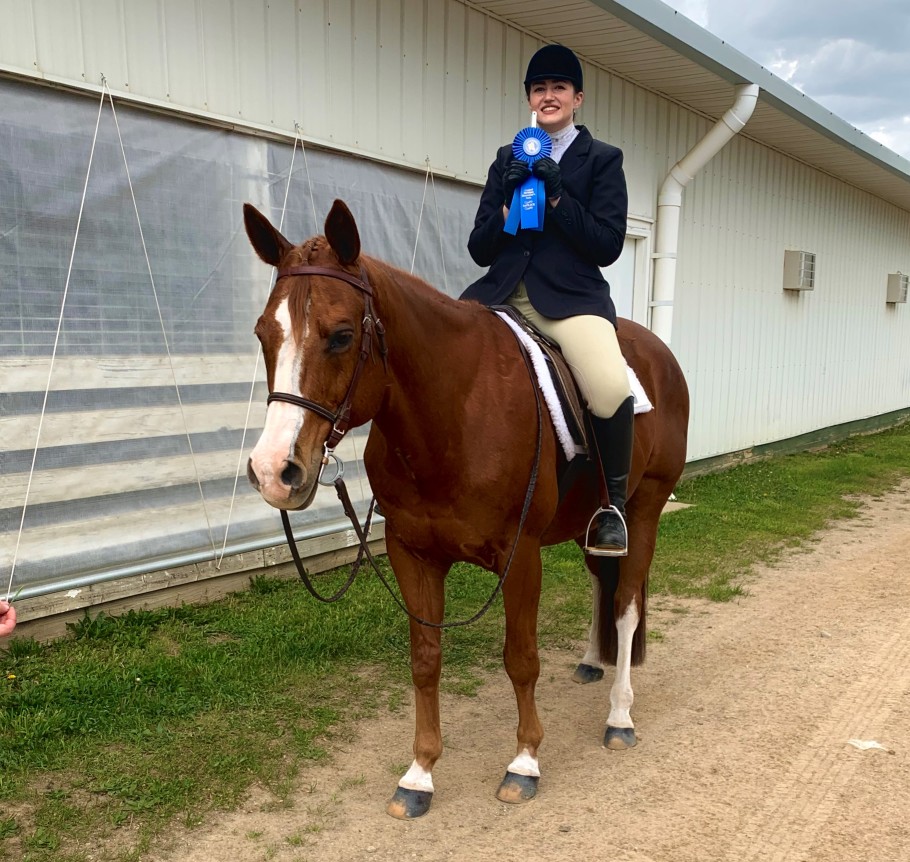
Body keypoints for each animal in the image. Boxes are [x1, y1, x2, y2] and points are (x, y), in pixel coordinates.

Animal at [242, 199, 692, 820]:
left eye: (340, 336)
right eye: (264, 333)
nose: (274, 471)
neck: (453, 411)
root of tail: (659, 354)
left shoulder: (520, 558)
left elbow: (521, 658)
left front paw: (524, 763)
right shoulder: (413, 554)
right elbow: (425, 660)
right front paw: (419, 773)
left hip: (643, 511)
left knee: (625, 605)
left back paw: (620, 714)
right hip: (591, 525)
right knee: (602, 583)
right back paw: (591, 663)